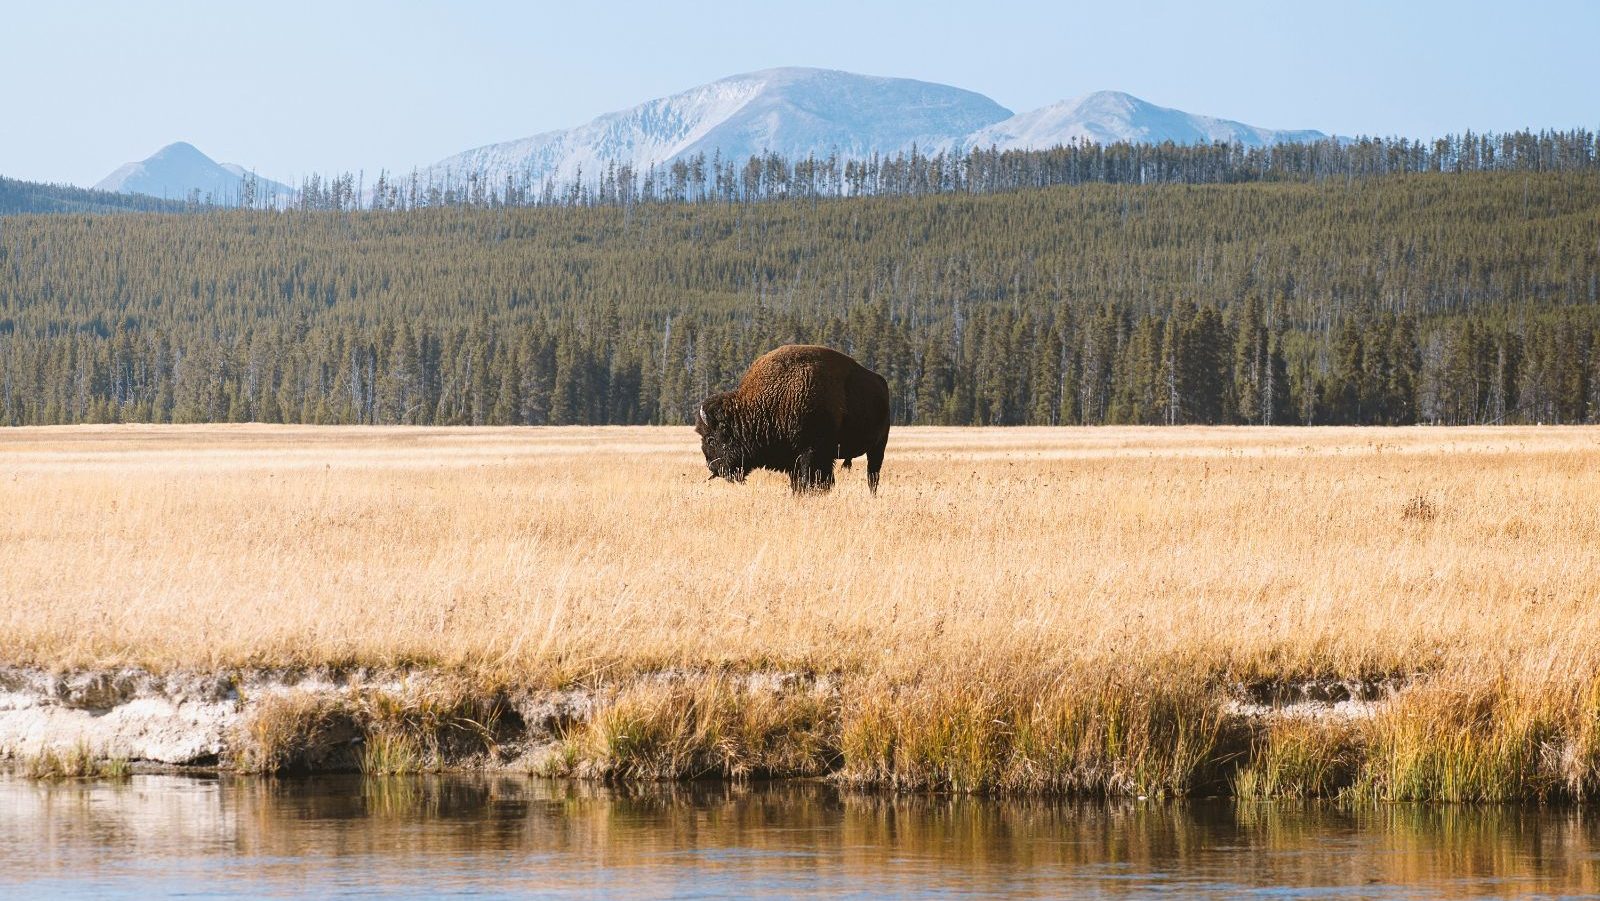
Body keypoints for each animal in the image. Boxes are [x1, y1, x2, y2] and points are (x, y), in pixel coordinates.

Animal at [695, 344, 890, 494]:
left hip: (878, 447)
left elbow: (812, 480)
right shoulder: (795, 459)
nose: (711, 466)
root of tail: (880, 382)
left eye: (711, 439)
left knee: (873, 475)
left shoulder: (811, 453)